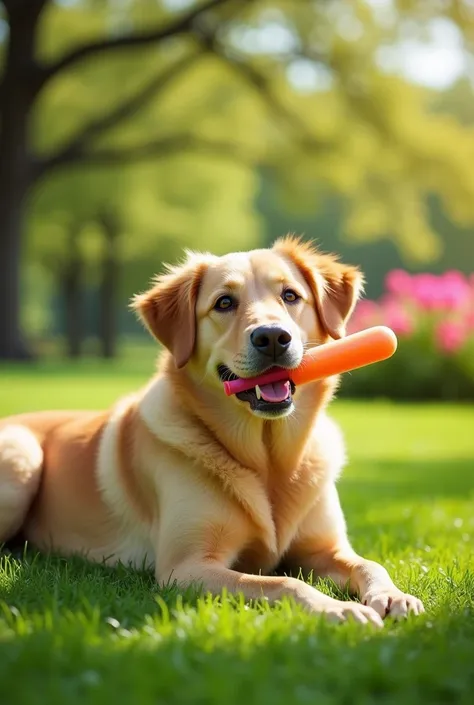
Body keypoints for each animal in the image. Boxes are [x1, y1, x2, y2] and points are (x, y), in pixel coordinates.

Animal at [0, 238, 422, 628]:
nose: (272, 337)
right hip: (23, 455)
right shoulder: (185, 567)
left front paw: (393, 595)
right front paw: (338, 608)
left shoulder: (325, 548)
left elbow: (370, 564)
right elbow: (282, 582)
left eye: (290, 296)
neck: (268, 459)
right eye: (223, 303)